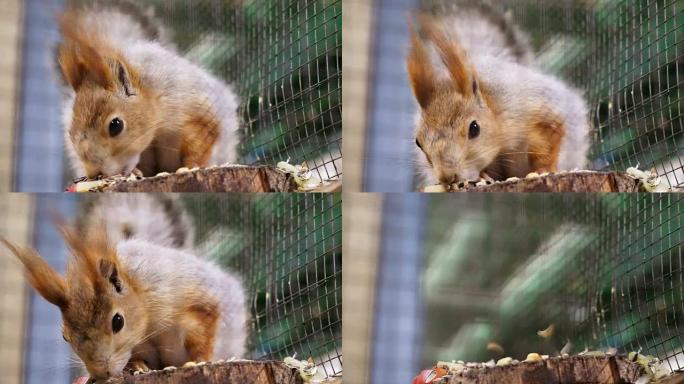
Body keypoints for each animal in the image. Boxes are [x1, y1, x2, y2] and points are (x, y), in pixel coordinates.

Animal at [1, 196, 247, 382]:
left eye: (117, 321)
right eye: (65, 337)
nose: (101, 374)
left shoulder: (192, 300)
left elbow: (205, 329)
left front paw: (198, 360)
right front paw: (135, 366)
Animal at [58, 1, 240, 178]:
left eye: (116, 126)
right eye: (70, 131)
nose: (94, 174)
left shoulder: (199, 112)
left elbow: (202, 141)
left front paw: (191, 166)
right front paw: (135, 171)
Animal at [406, 5, 588, 186]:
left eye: (474, 128)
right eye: (418, 142)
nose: (447, 177)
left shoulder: (534, 110)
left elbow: (550, 139)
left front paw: (543, 169)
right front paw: (481, 176)